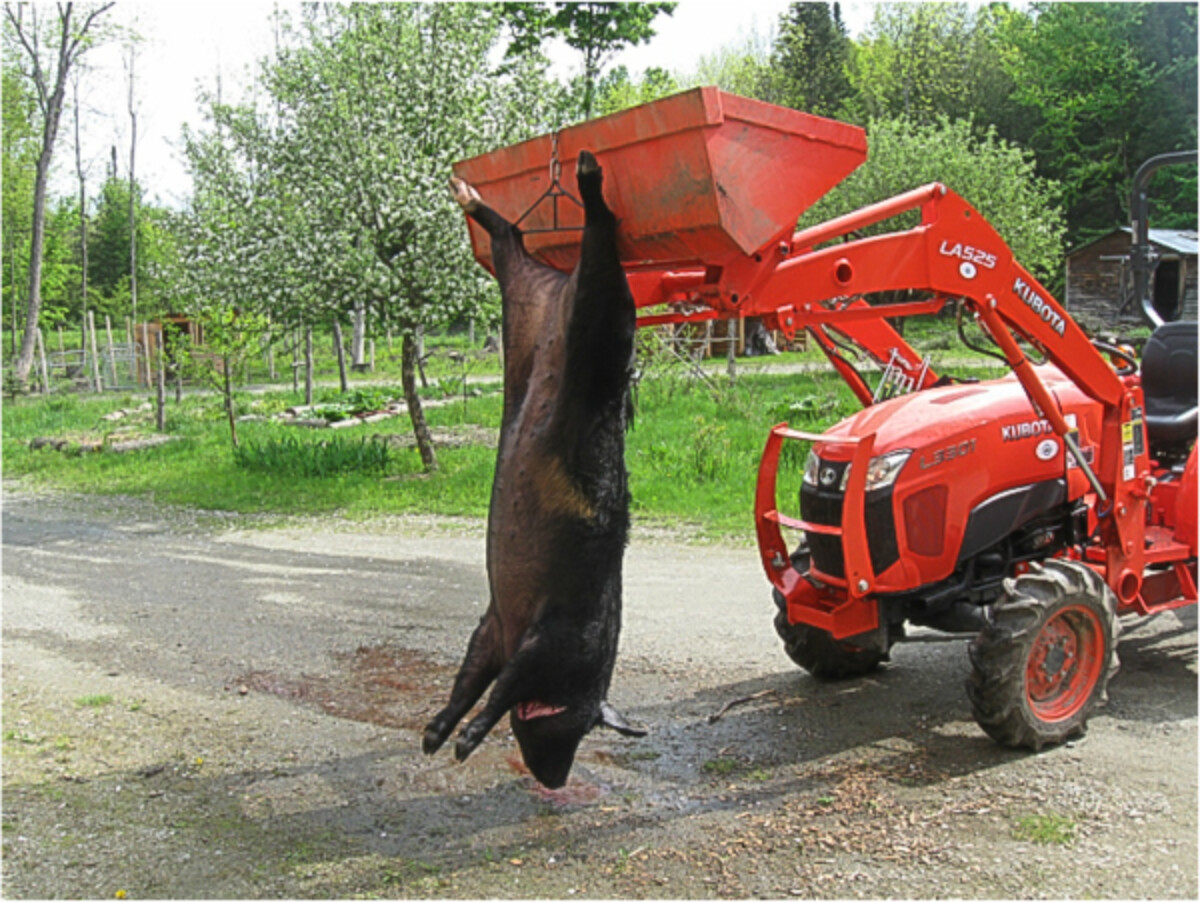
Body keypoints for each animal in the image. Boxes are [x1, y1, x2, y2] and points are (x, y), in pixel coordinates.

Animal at [422, 149, 645, 789]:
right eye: (583, 726)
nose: (557, 780)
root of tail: (558, 285)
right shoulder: (547, 637)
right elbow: (498, 688)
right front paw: (458, 744)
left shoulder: (497, 625)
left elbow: (474, 675)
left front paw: (433, 740)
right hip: (608, 313)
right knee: (597, 232)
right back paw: (588, 173)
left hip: (521, 294)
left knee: (509, 241)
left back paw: (470, 189)